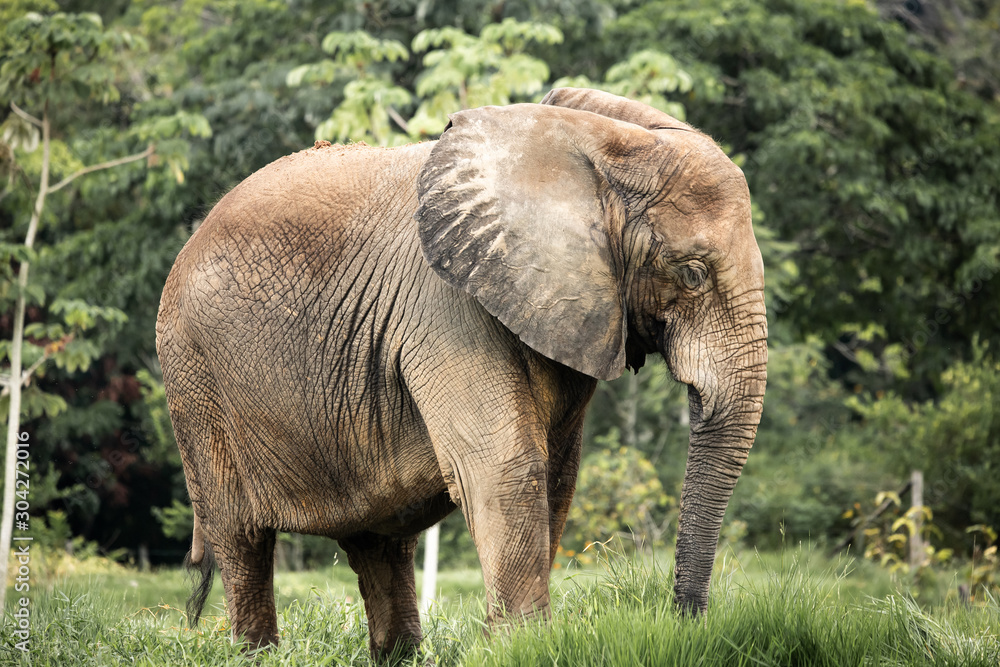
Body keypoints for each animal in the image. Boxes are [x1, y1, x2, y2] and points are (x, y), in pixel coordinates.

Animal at [155, 87, 767, 659]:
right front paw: (523, 649)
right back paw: (255, 652)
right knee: (242, 538)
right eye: (691, 273)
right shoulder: (447, 306)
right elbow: (507, 466)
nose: (681, 622)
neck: (590, 148)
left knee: (379, 543)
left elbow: (557, 476)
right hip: (193, 376)